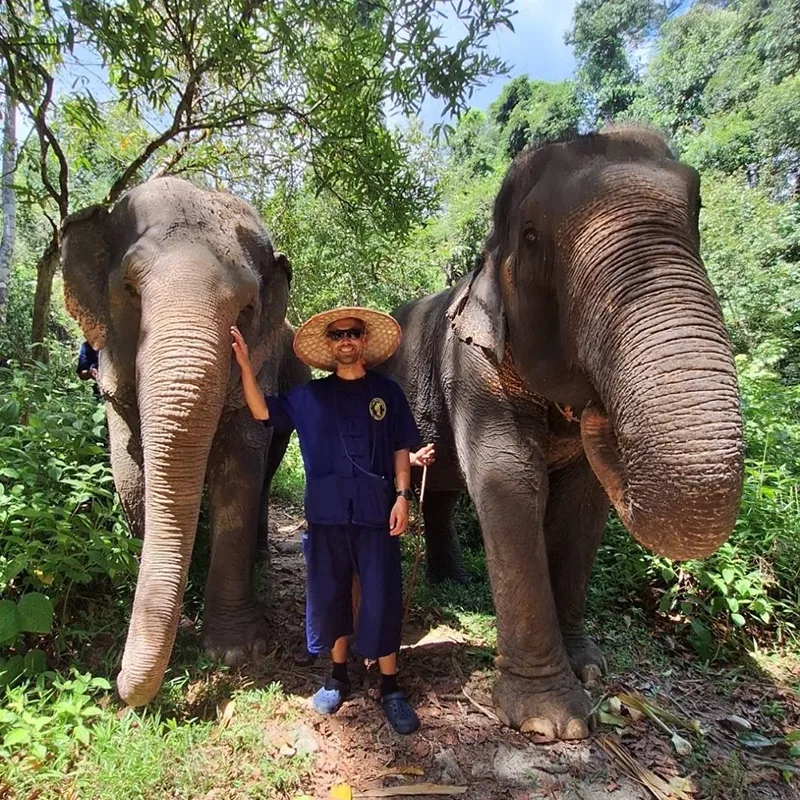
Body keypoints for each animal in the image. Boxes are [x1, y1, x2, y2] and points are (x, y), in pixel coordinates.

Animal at [61, 177, 309, 707]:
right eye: (130, 290)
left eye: (247, 308)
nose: (120, 689)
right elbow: (131, 476)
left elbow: (240, 473)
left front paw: (236, 652)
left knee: (266, 474)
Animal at [378, 127, 744, 740]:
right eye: (531, 236)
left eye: (697, 210)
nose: (597, 415)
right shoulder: (473, 367)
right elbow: (512, 481)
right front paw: (551, 723)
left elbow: (581, 503)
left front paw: (590, 669)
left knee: (443, 495)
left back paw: (454, 585)